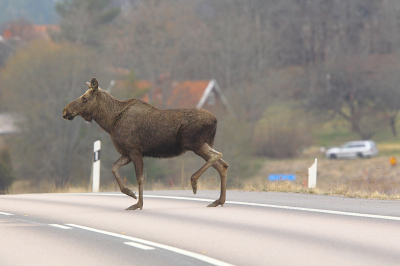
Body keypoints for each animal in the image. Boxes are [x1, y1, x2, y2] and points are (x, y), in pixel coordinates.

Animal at [64, 77, 230, 210]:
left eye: (84, 98)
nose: (66, 111)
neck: (110, 122)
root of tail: (215, 120)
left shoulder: (134, 150)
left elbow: (140, 178)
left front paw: (138, 203)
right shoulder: (126, 153)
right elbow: (114, 168)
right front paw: (130, 193)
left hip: (193, 142)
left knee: (217, 156)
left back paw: (194, 182)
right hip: (203, 143)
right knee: (222, 164)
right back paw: (219, 201)